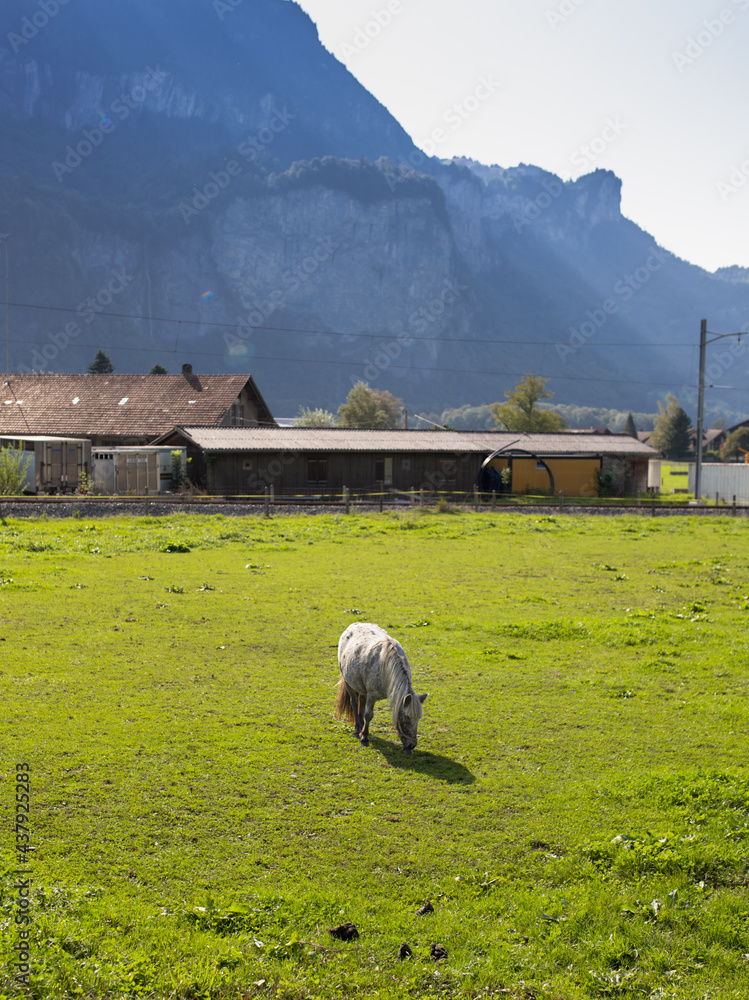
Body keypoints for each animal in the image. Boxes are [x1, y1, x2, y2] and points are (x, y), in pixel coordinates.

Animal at [336, 622, 428, 753]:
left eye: (419, 718)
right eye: (406, 718)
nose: (411, 746)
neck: (387, 668)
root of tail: (354, 625)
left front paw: (365, 732)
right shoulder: (372, 694)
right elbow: (369, 715)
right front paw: (364, 738)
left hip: (362, 688)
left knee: (361, 704)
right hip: (349, 682)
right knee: (354, 703)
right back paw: (358, 730)